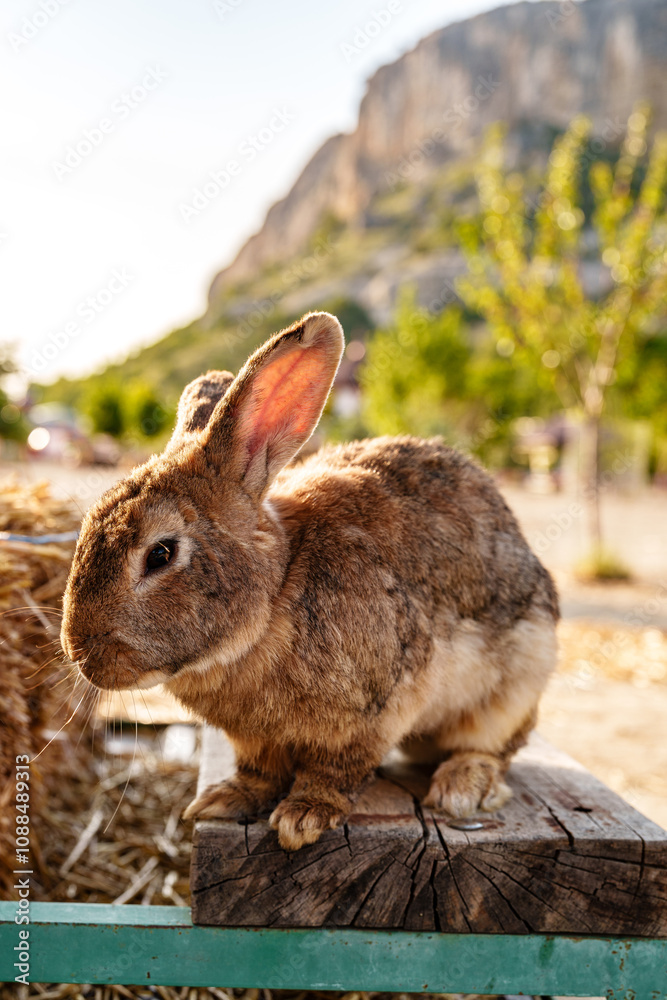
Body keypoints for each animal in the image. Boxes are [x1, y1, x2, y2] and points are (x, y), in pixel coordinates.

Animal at [60, 311, 559, 851]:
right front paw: (226, 799)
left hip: (519, 678)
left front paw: (303, 818)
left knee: (493, 746)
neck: (277, 591)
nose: (80, 654)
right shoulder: (255, 739)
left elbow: (335, 770)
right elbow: (259, 771)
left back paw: (463, 785)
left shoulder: (378, 708)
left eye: (161, 553)